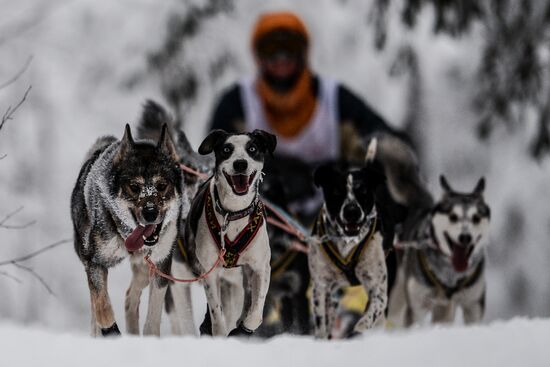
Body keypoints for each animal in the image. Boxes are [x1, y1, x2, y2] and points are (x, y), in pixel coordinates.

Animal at [171, 131, 278, 338]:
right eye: (227, 149)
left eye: (252, 148)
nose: (240, 163)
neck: (233, 213)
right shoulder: (209, 273)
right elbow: (217, 316)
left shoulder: (260, 267)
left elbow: (255, 313)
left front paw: (244, 328)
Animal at [308, 162, 394, 340]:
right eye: (337, 191)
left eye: (363, 191)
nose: (352, 211)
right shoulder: (320, 286)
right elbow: (321, 322)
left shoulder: (378, 288)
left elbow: (371, 313)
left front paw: (359, 327)